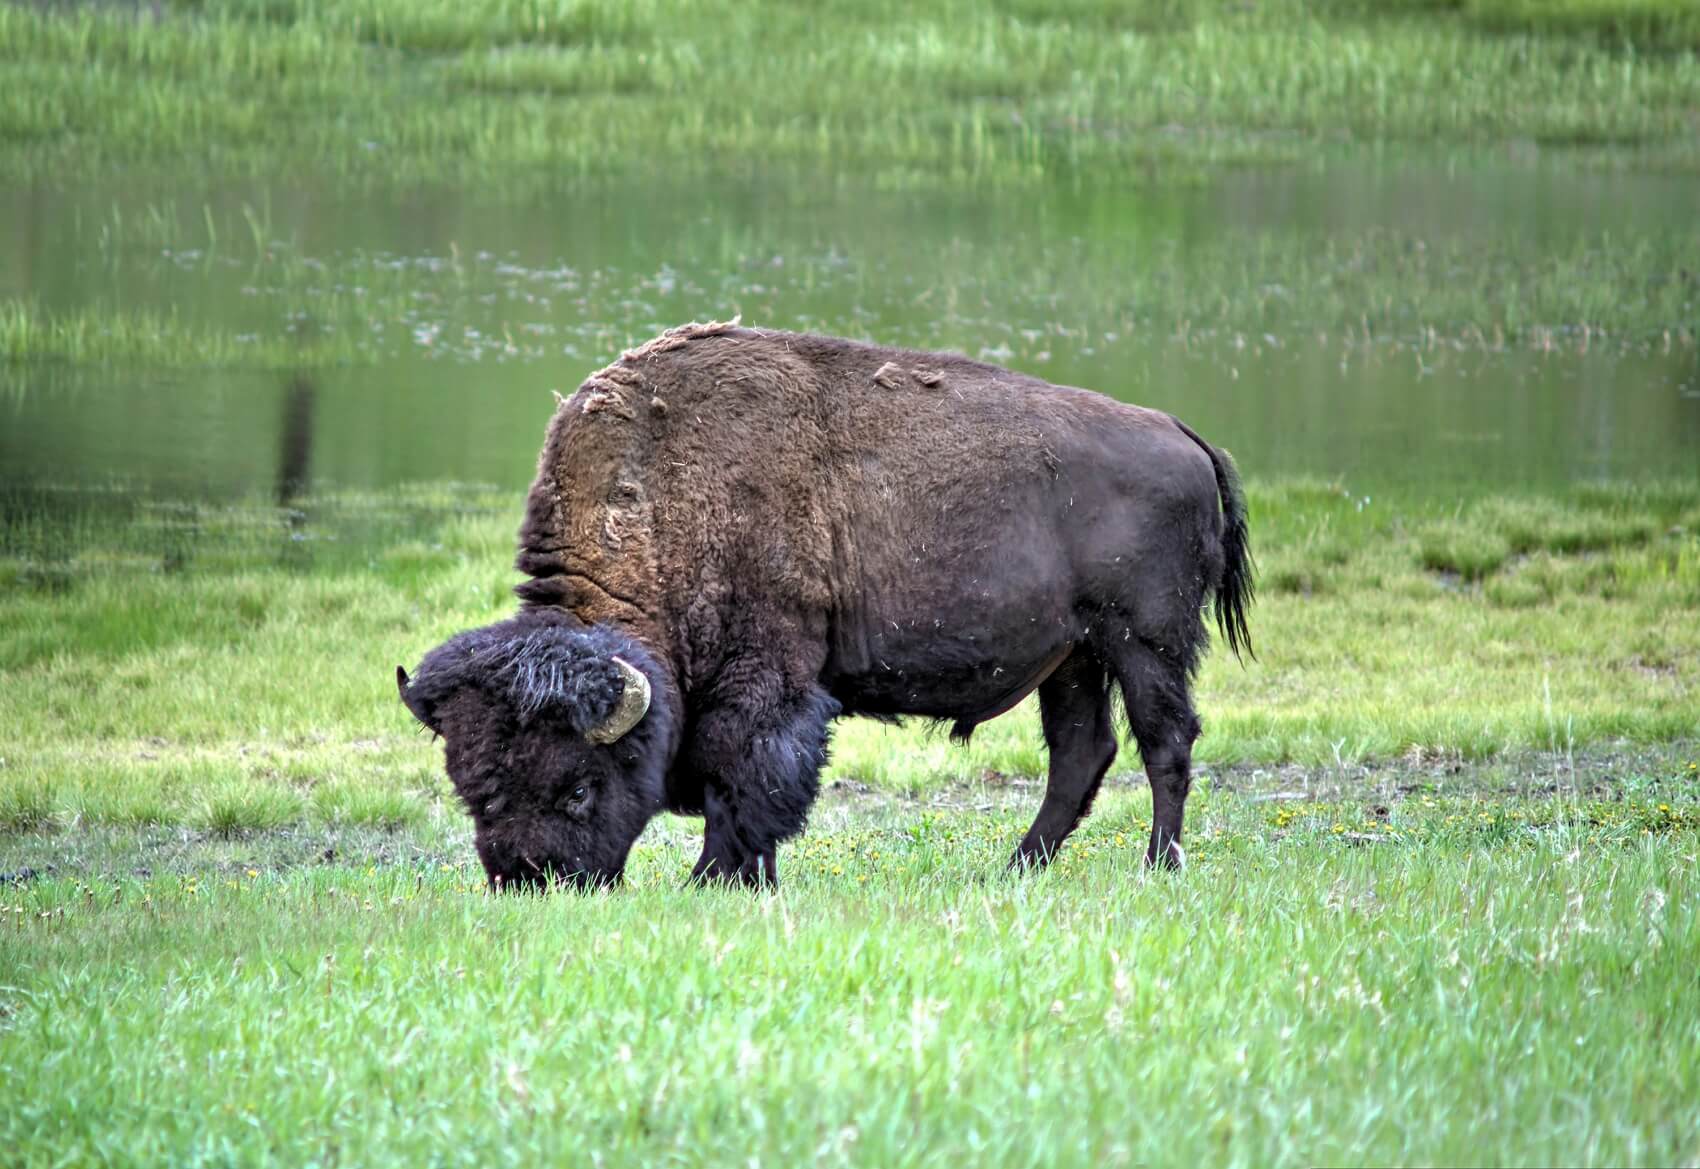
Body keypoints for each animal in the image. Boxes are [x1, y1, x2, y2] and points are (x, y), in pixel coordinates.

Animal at [397, 319, 1251, 883]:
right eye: (471, 786)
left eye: (578, 784)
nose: (530, 878)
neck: (655, 497)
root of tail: (1185, 437)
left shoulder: (765, 680)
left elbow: (743, 776)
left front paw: (713, 877)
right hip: (1072, 656)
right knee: (1082, 753)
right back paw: (1014, 869)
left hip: (1146, 644)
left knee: (1166, 743)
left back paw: (1157, 866)